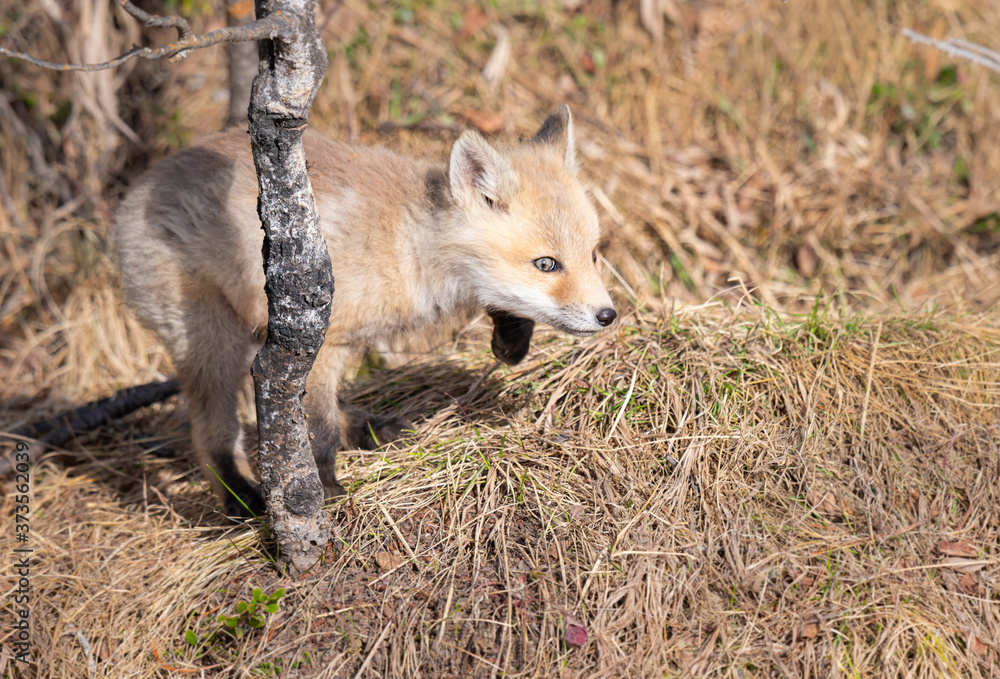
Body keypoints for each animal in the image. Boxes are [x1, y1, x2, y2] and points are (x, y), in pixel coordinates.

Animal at [112, 106, 616, 516]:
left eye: (593, 254)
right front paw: (324, 490)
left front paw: (511, 341)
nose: (608, 316)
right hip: (214, 343)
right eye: (546, 264)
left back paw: (370, 426)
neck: (406, 246)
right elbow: (317, 429)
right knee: (213, 432)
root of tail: (137, 188)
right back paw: (241, 494)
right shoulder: (319, 339)